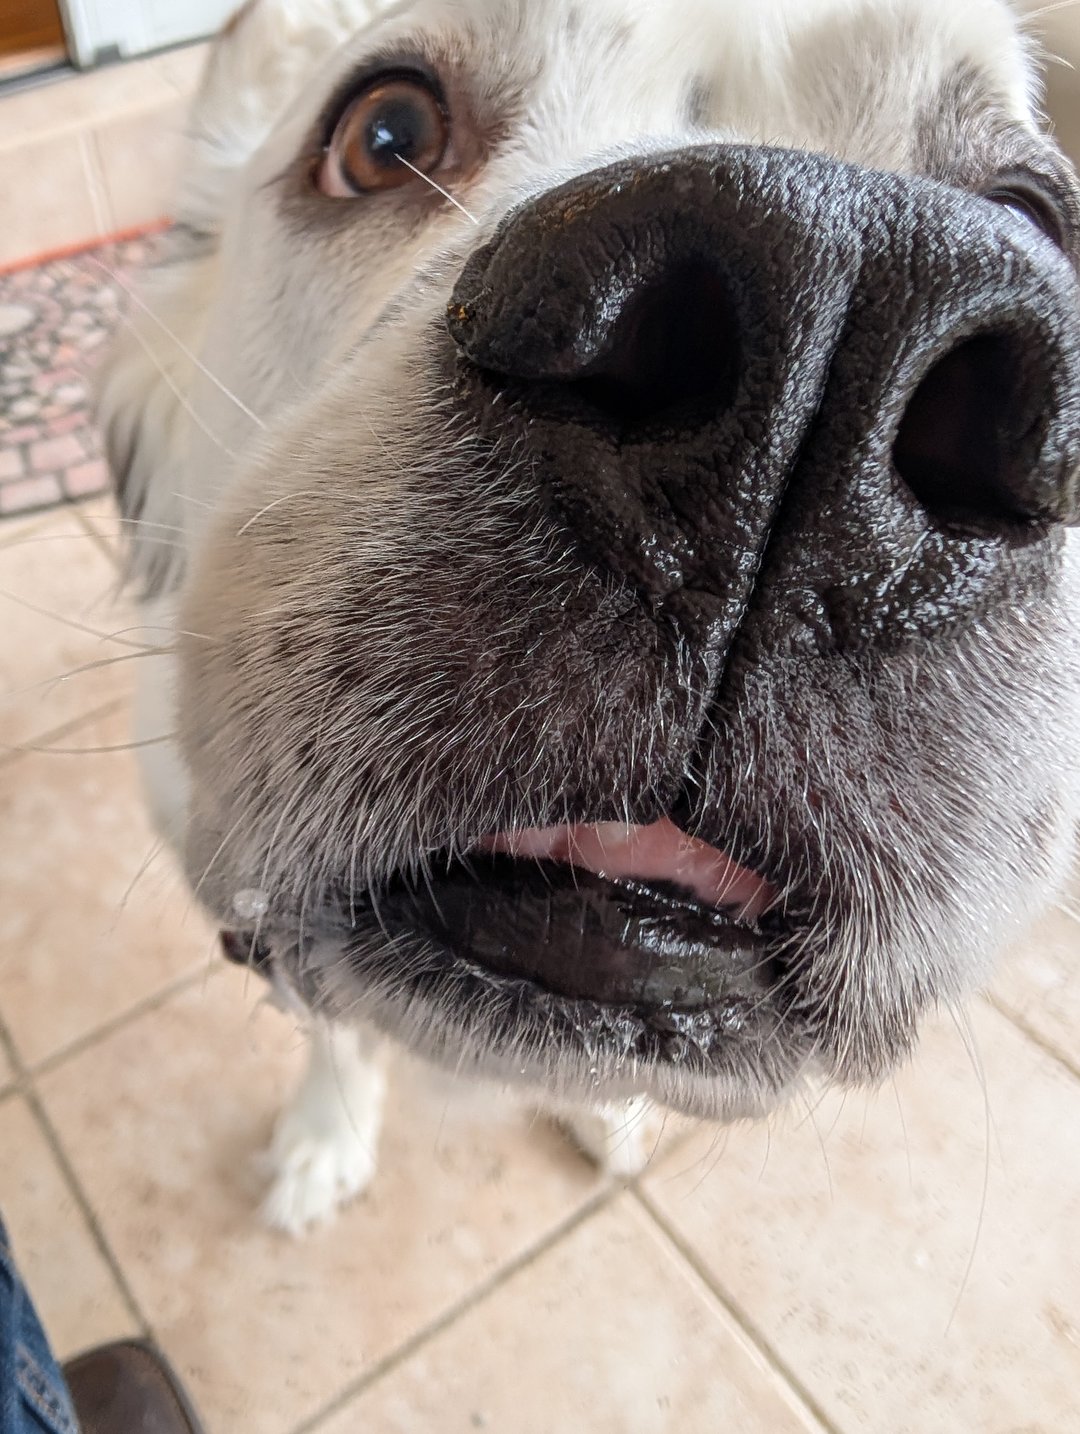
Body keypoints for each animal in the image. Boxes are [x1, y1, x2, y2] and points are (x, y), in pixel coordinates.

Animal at [99, 0, 1080, 1234]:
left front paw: (604, 1118)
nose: (839, 295)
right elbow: (329, 1027)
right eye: (384, 134)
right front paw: (326, 1136)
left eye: (1032, 210)